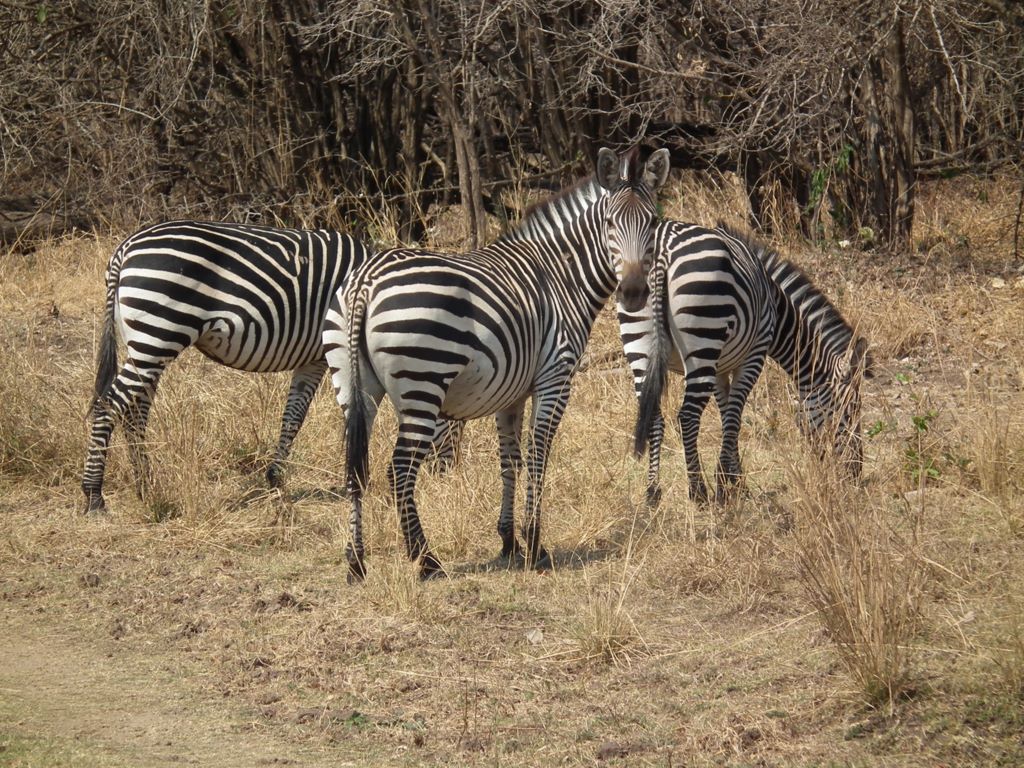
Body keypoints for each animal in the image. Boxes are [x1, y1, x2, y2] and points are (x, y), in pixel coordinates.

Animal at [82, 219, 387, 513]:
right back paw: (94, 495)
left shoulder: (312, 360)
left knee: (134, 412)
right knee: (108, 404)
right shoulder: (336, 353)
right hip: (158, 334)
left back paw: (146, 486)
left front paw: (276, 478)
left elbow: (293, 417)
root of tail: (125, 249)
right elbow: (356, 411)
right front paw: (358, 479)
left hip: (146, 343)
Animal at [324, 146, 671, 581]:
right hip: (423, 381)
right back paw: (426, 559)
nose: (635, 292)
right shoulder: (555, 378)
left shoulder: (512, 393)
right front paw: (536, 545)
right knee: (400, 468)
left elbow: (510, 461)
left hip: (353, 386)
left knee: (355, 469)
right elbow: (538, 456)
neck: (562, 277)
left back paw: (356, 562)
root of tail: (366, 279)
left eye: (652, 223)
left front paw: (509, 541)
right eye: (610, 224)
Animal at [626, 222, 872, 505]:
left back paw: (652, 492)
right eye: (850, 411)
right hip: (703, 336)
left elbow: (727, 416)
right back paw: (698, 491)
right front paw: (725, 483)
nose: (855, 473)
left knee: (654, 417)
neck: (778, 309)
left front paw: (737, 481)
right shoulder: (753, 355)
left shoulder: (720, 367)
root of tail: (662, 252)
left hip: (639, 339)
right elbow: (735, 419)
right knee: (687, 417)